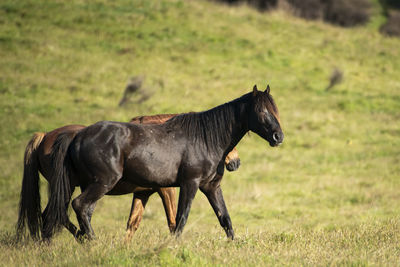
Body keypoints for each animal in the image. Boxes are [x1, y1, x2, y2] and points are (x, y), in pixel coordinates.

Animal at [17, 114, 241, 242]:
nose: (235, 162)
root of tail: (45, 137)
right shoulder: (166, 189)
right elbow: (172, 220)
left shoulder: (144, 193)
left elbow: (133, 222)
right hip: (74, 186)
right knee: (59, 212)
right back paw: (82, 239)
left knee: (52, 213)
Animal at [42, 85, 282, 242]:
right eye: (262, 111)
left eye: (275, 110)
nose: (278, 137)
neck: (204, 139)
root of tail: (77, 135)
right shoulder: (189, 184)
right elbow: (180, 219)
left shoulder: (211, 186)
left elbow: (225, 218)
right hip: (102, 183)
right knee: (79, 206)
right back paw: (91, 242)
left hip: (80, 185)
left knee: (63, 212)